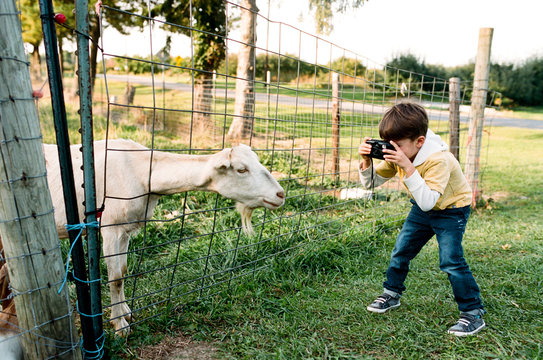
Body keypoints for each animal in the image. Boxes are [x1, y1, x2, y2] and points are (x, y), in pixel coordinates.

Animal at [43, 140, 284, 334]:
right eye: (242, 170)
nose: (280, 194)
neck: (142, 171)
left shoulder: (126, 230)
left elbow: (123, 270)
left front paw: (126, 311)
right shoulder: (111, 227)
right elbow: (116, 278)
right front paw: (120, 325)